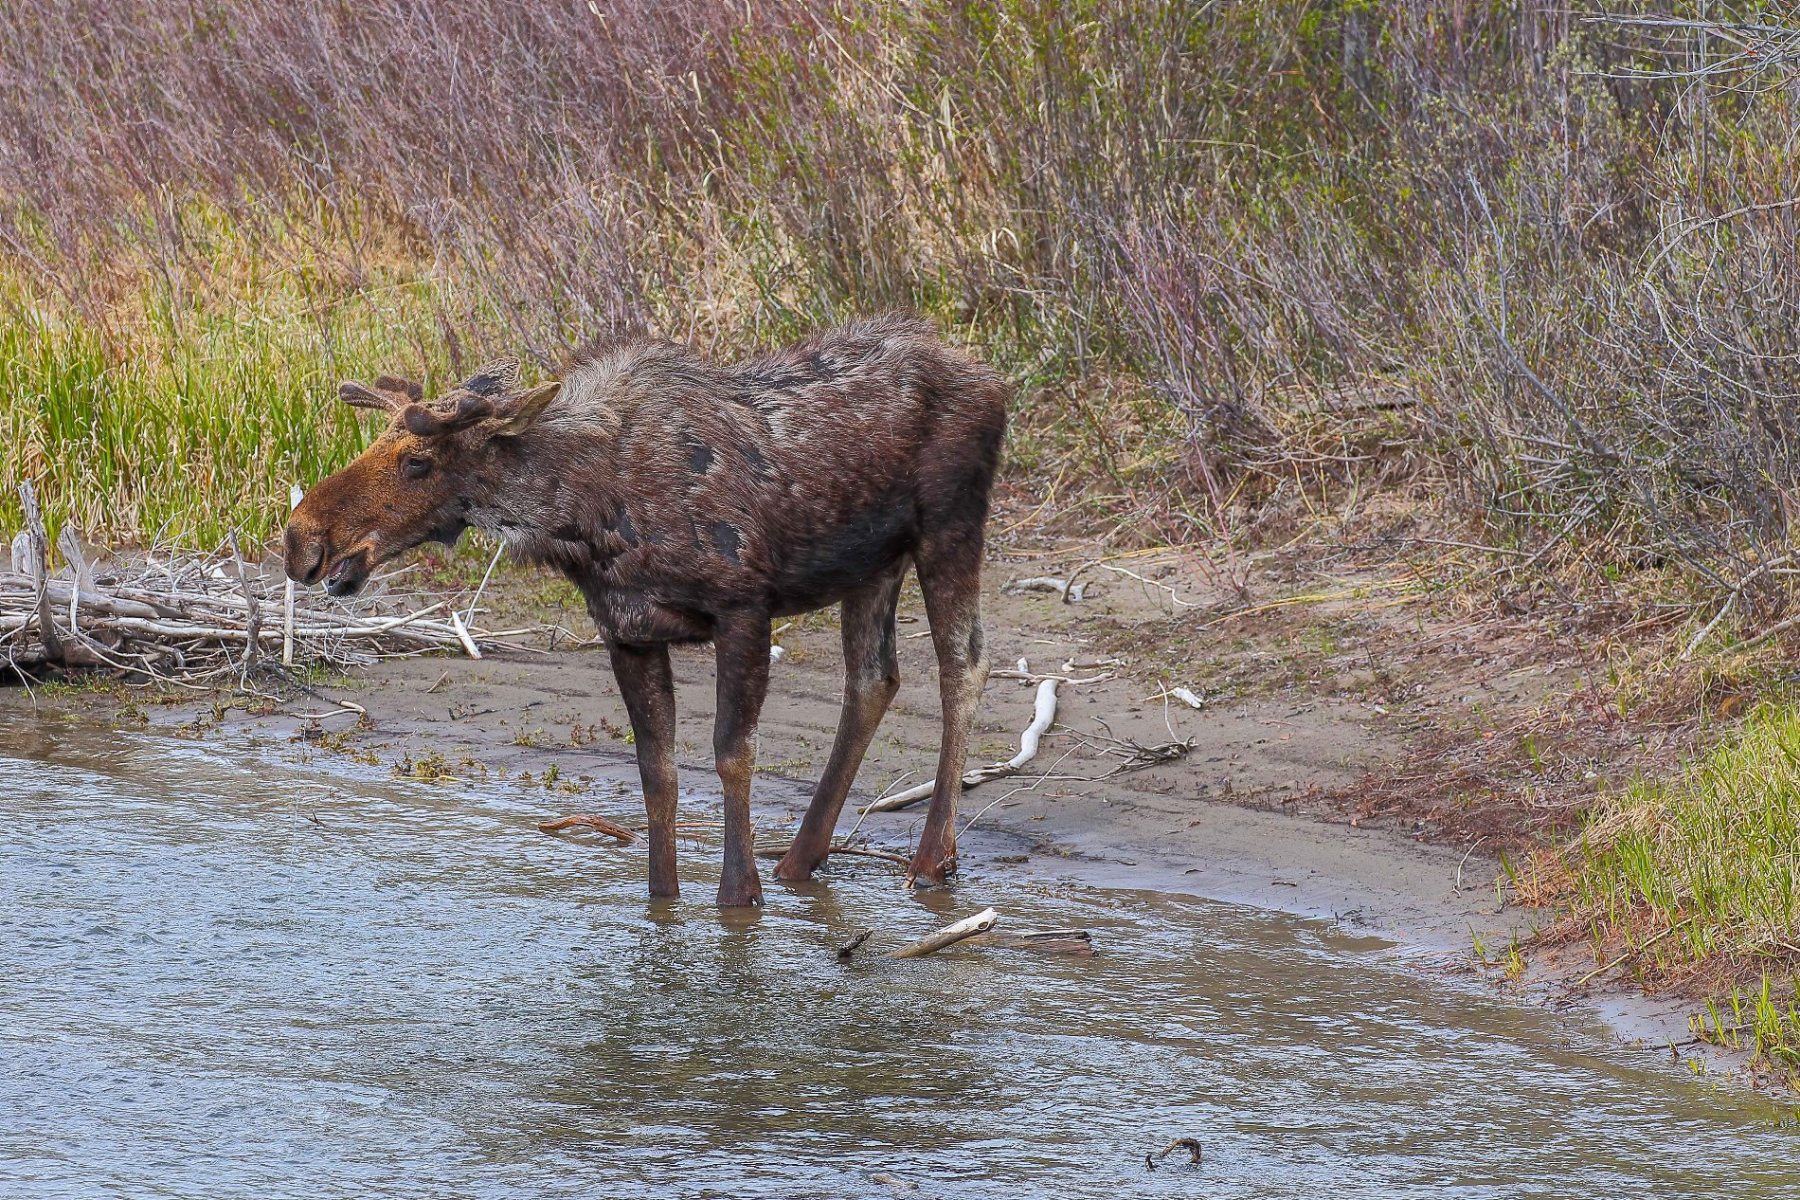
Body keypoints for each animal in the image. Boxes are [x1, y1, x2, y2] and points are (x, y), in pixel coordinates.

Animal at [284, 313, 1008, 907]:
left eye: (417, 461)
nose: (300, 540)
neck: (585, 518)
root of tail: (993, 380)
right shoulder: (626, 634)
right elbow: (656, 774)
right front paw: (665, 903)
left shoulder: (744, 610)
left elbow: (731, 753)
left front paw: (738, 898)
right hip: (871, 563)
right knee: (873, 679)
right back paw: (802, 861)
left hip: (950, 524)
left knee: (964, 664)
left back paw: (930, 859)